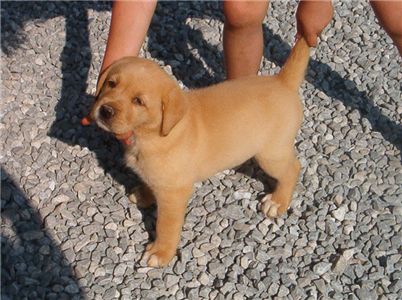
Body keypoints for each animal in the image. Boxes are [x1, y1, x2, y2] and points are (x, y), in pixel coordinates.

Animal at [85, 38, 310, 268]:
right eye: (111, 84)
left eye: (138, 101)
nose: (105, 110)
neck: (153, 135)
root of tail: (282, 81)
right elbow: (149, 180)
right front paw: (144, 194)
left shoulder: (175, 193)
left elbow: (166, 226)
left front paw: (160, 252)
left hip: (271, 154)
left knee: (293, 168)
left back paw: (278, 201)